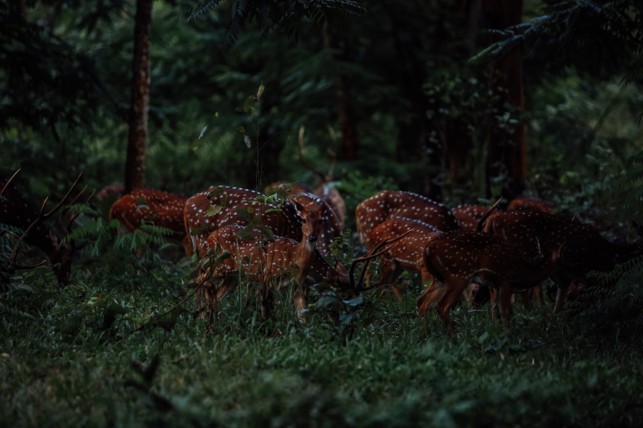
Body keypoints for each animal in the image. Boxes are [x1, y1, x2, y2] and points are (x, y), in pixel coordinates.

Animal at [417, 229, 551, 333]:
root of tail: (427, 250)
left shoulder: (495, 285)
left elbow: (497, 308)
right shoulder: (505, 281)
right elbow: (505, 310)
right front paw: (508, 334)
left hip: (439, 279)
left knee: (421, 301)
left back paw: (426, 334)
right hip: (458, 275)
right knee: (442, 306)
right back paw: (453, 339)